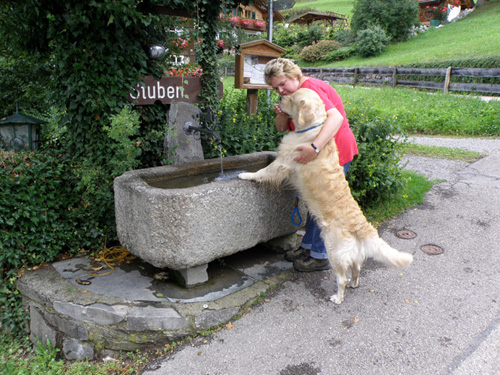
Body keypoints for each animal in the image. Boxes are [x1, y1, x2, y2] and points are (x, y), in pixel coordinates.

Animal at [240, 89, 412, 306]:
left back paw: (338, 297)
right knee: (357, 268)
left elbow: (263, 171)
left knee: (341, 278)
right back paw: (354, 283)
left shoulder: (283, 162)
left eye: (292, 97)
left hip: (334, 251)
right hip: (353, 253)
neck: (312, 128)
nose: (280, 98)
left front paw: (246, 175)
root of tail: (361, 224)